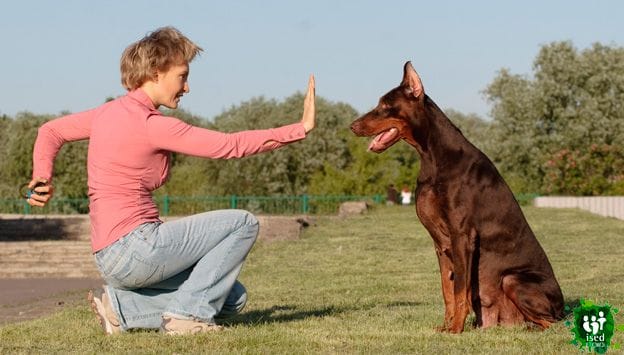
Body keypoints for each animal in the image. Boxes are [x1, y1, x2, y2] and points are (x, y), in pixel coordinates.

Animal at [352, 62, 564, 334]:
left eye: (386, 105)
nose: (352, 126)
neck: (432, 157)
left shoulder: (462, 235)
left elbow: (460, 289)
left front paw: (455, 329)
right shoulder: (441, 244)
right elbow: (447, 290)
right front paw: (446, 326)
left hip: (513, 279)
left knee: (555, 322)